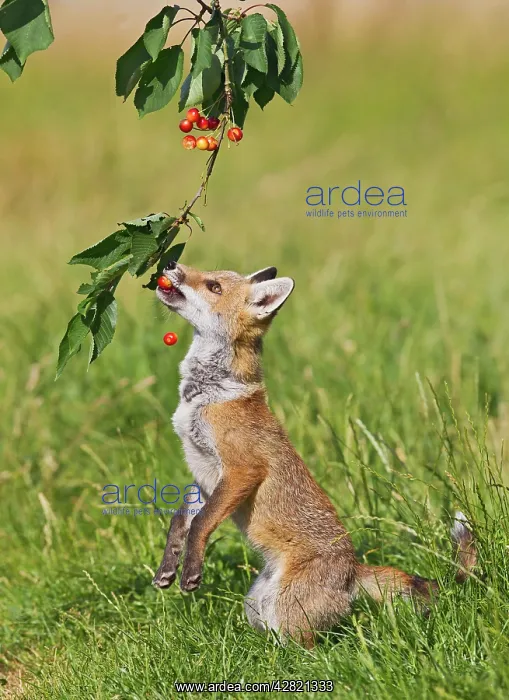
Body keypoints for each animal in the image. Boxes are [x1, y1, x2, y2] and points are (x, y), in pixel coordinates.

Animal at [152, 261, 476, 647]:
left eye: (213, 285)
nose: (170, 264)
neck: (208, 395)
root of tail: (353, 570)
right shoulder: (206, 475)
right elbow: (181, 520)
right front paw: (169, 566)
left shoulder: (242, 470)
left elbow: (200, 523)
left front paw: (191, 570)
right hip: (257, 605)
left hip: (286, 612)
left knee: (310, 649)